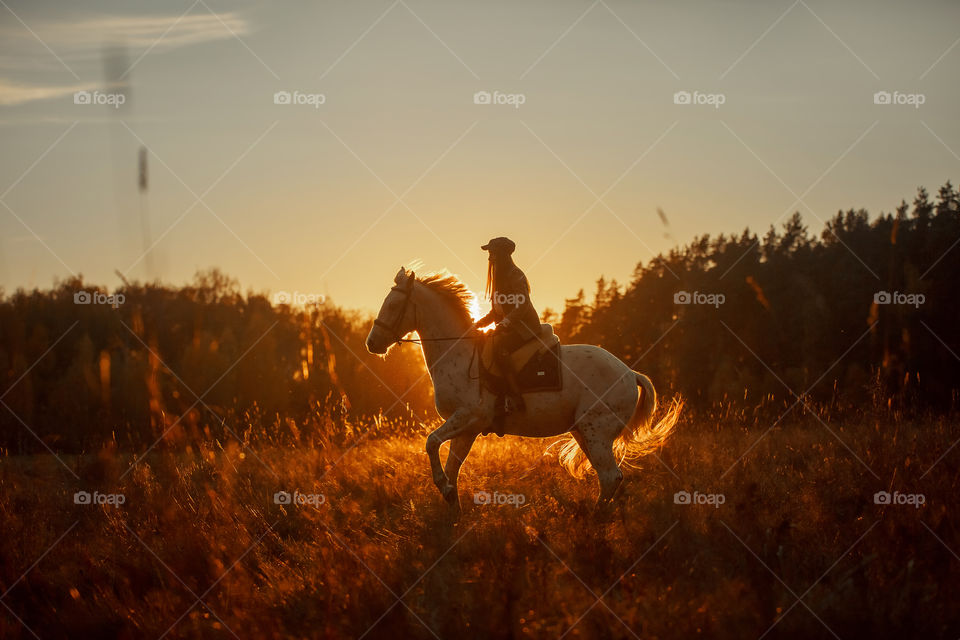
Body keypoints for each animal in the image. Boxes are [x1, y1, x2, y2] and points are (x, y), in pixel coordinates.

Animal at [364, 266, 680, 516]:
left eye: (393, 305)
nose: (372, 343)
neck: (458, 353)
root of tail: (629, 373)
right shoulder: (466, 429)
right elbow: (452, 467)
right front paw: (452, 507)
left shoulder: (468, 418)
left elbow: (431, 443)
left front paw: (443, 488)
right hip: (585, 434)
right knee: (610, 477)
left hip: (597, 433)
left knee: (610, 476)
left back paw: (594, 520)